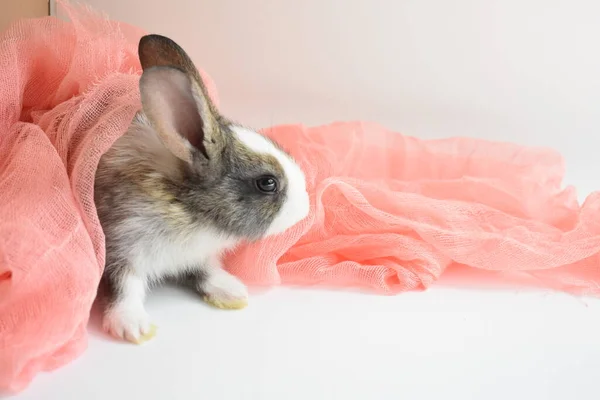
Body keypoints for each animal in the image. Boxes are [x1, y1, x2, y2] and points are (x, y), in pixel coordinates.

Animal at [95, 34, 310, 344]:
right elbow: (124, 287)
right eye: (267, 183)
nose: (306, 205)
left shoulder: (196, 255)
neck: (187, 207)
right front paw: (132, 326)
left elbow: (206, 270)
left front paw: (231, 291)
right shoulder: (120, 245)